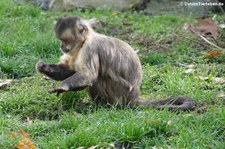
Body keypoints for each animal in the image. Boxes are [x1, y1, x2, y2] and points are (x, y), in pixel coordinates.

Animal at [36, 16, 196, 112]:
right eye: (60, 40)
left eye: (64, 40)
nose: (61, 46)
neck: (83, 43)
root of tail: (134, 97)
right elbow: (69, 70)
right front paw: (43, 67)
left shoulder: (90, 48)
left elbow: (88, 75)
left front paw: (63, 87)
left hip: (121, 92)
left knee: (98, 78)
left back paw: (105, 106)